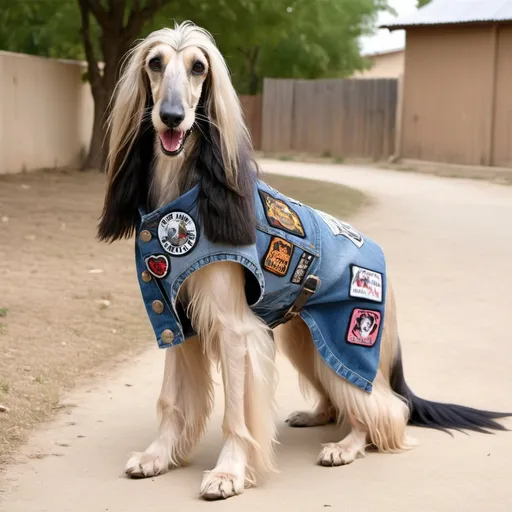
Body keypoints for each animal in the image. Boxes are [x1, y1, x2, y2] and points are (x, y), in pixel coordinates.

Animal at [98, 22, 510, 498]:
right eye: (155, 63)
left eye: (199, 67)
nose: (171, 117)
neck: (184, 190)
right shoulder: (174, 317)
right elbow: (170, 399)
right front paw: (158, 455)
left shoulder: (234, 328)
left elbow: (235, 413)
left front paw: (228, 471)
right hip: (306, 340)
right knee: (343, 400)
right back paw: (317, 416)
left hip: (350, 345)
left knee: (385, 409)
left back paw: (346, 446)